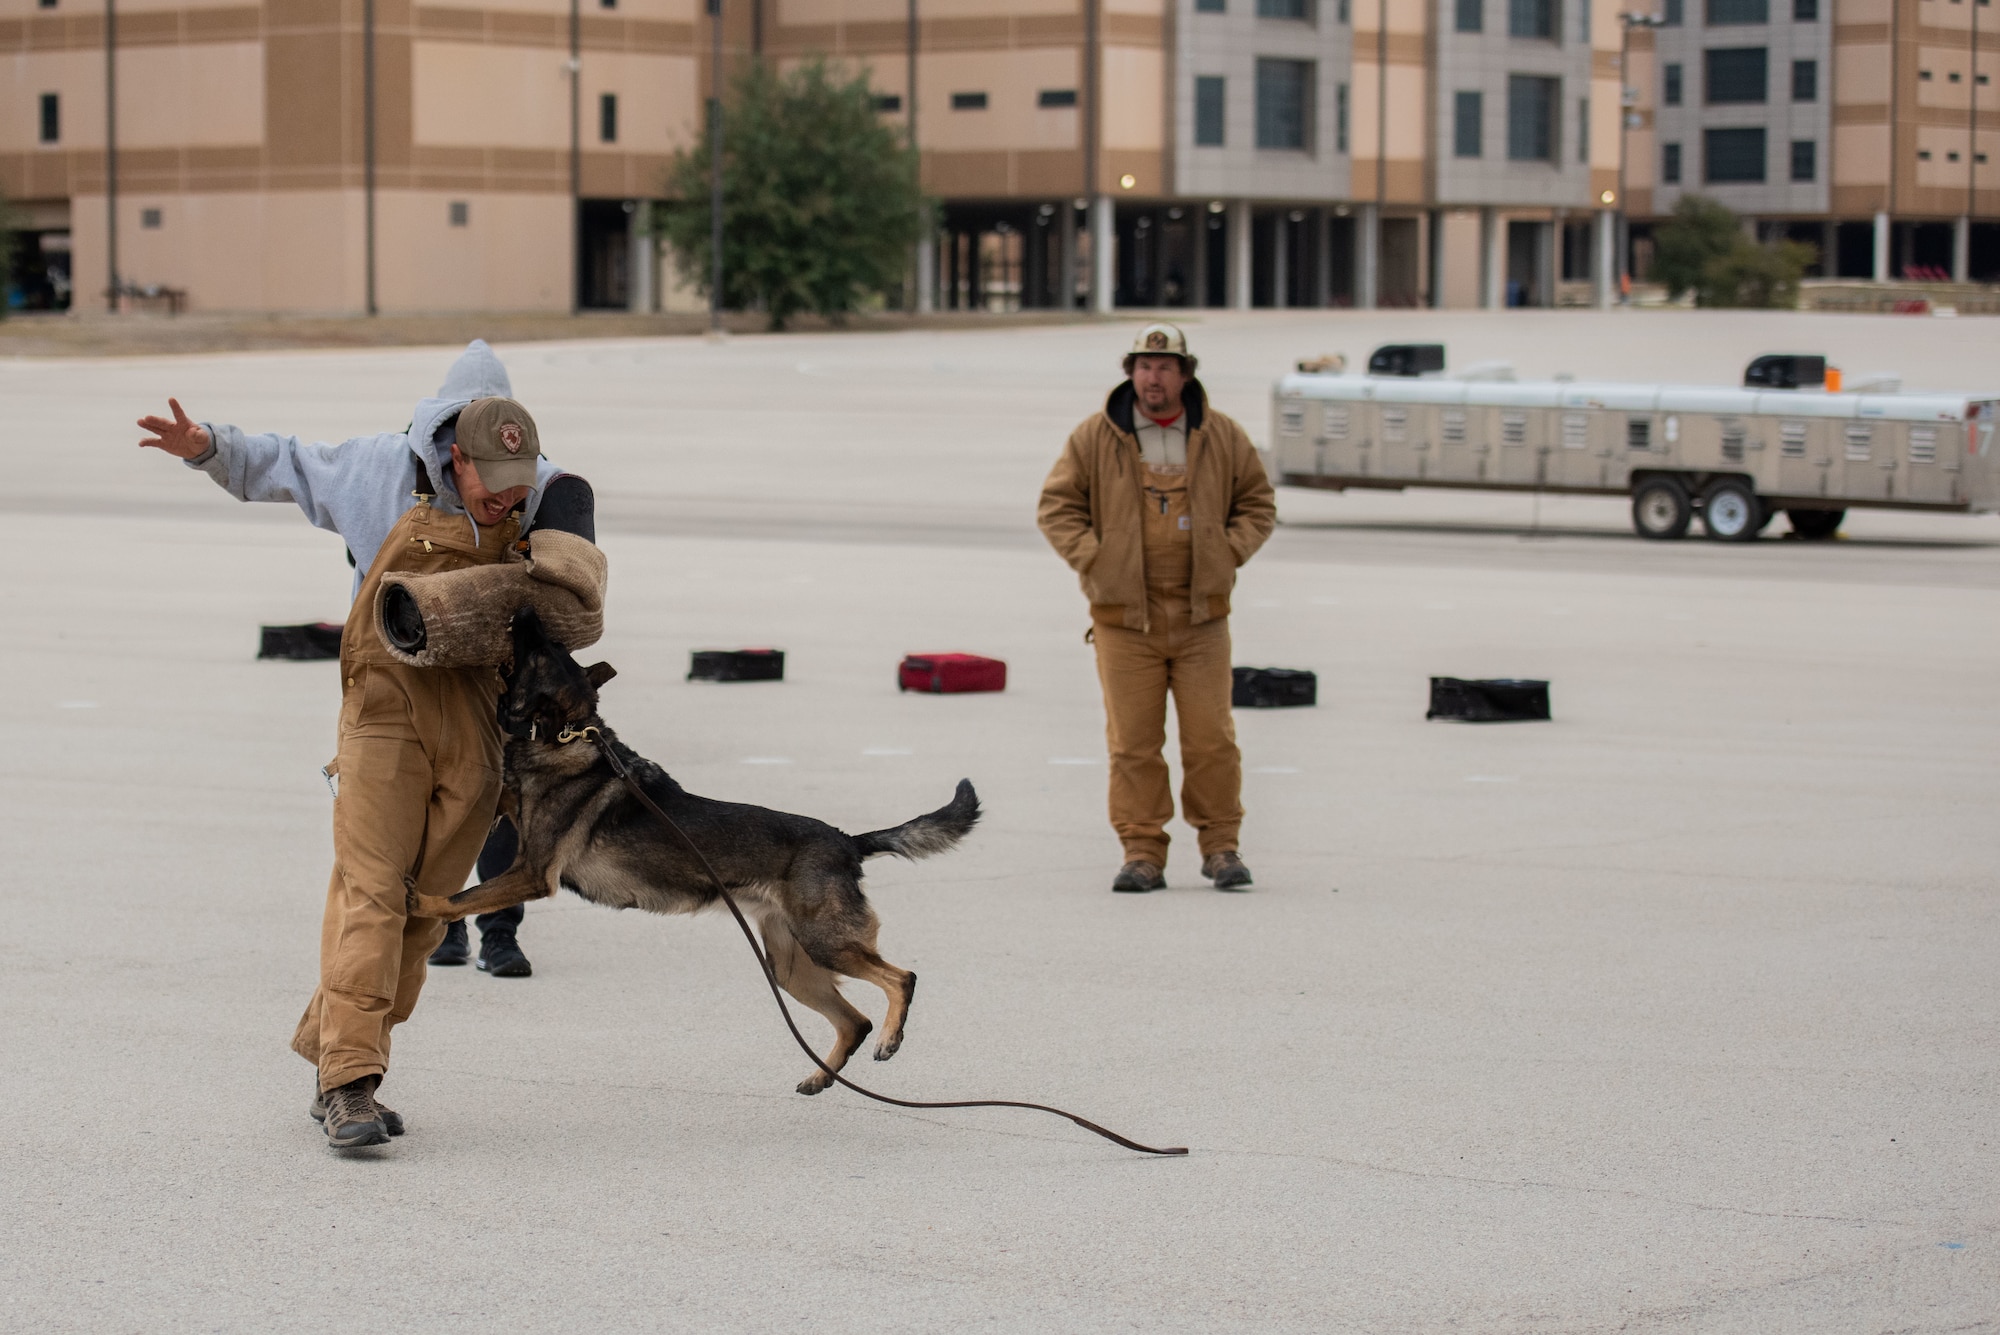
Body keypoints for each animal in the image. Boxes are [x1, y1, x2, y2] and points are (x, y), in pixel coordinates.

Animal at [416, 615, 984, 1095]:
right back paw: (821, 1076)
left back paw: (889, 1038)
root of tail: (848, 840)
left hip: (825, 944)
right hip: (789, 966)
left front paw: (419, 902)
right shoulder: (516, 826)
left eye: (540, 649)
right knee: (853, 1020)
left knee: (901, 979)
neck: (565, 733)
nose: (526, 612)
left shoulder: (531, 873)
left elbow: (461, 896)